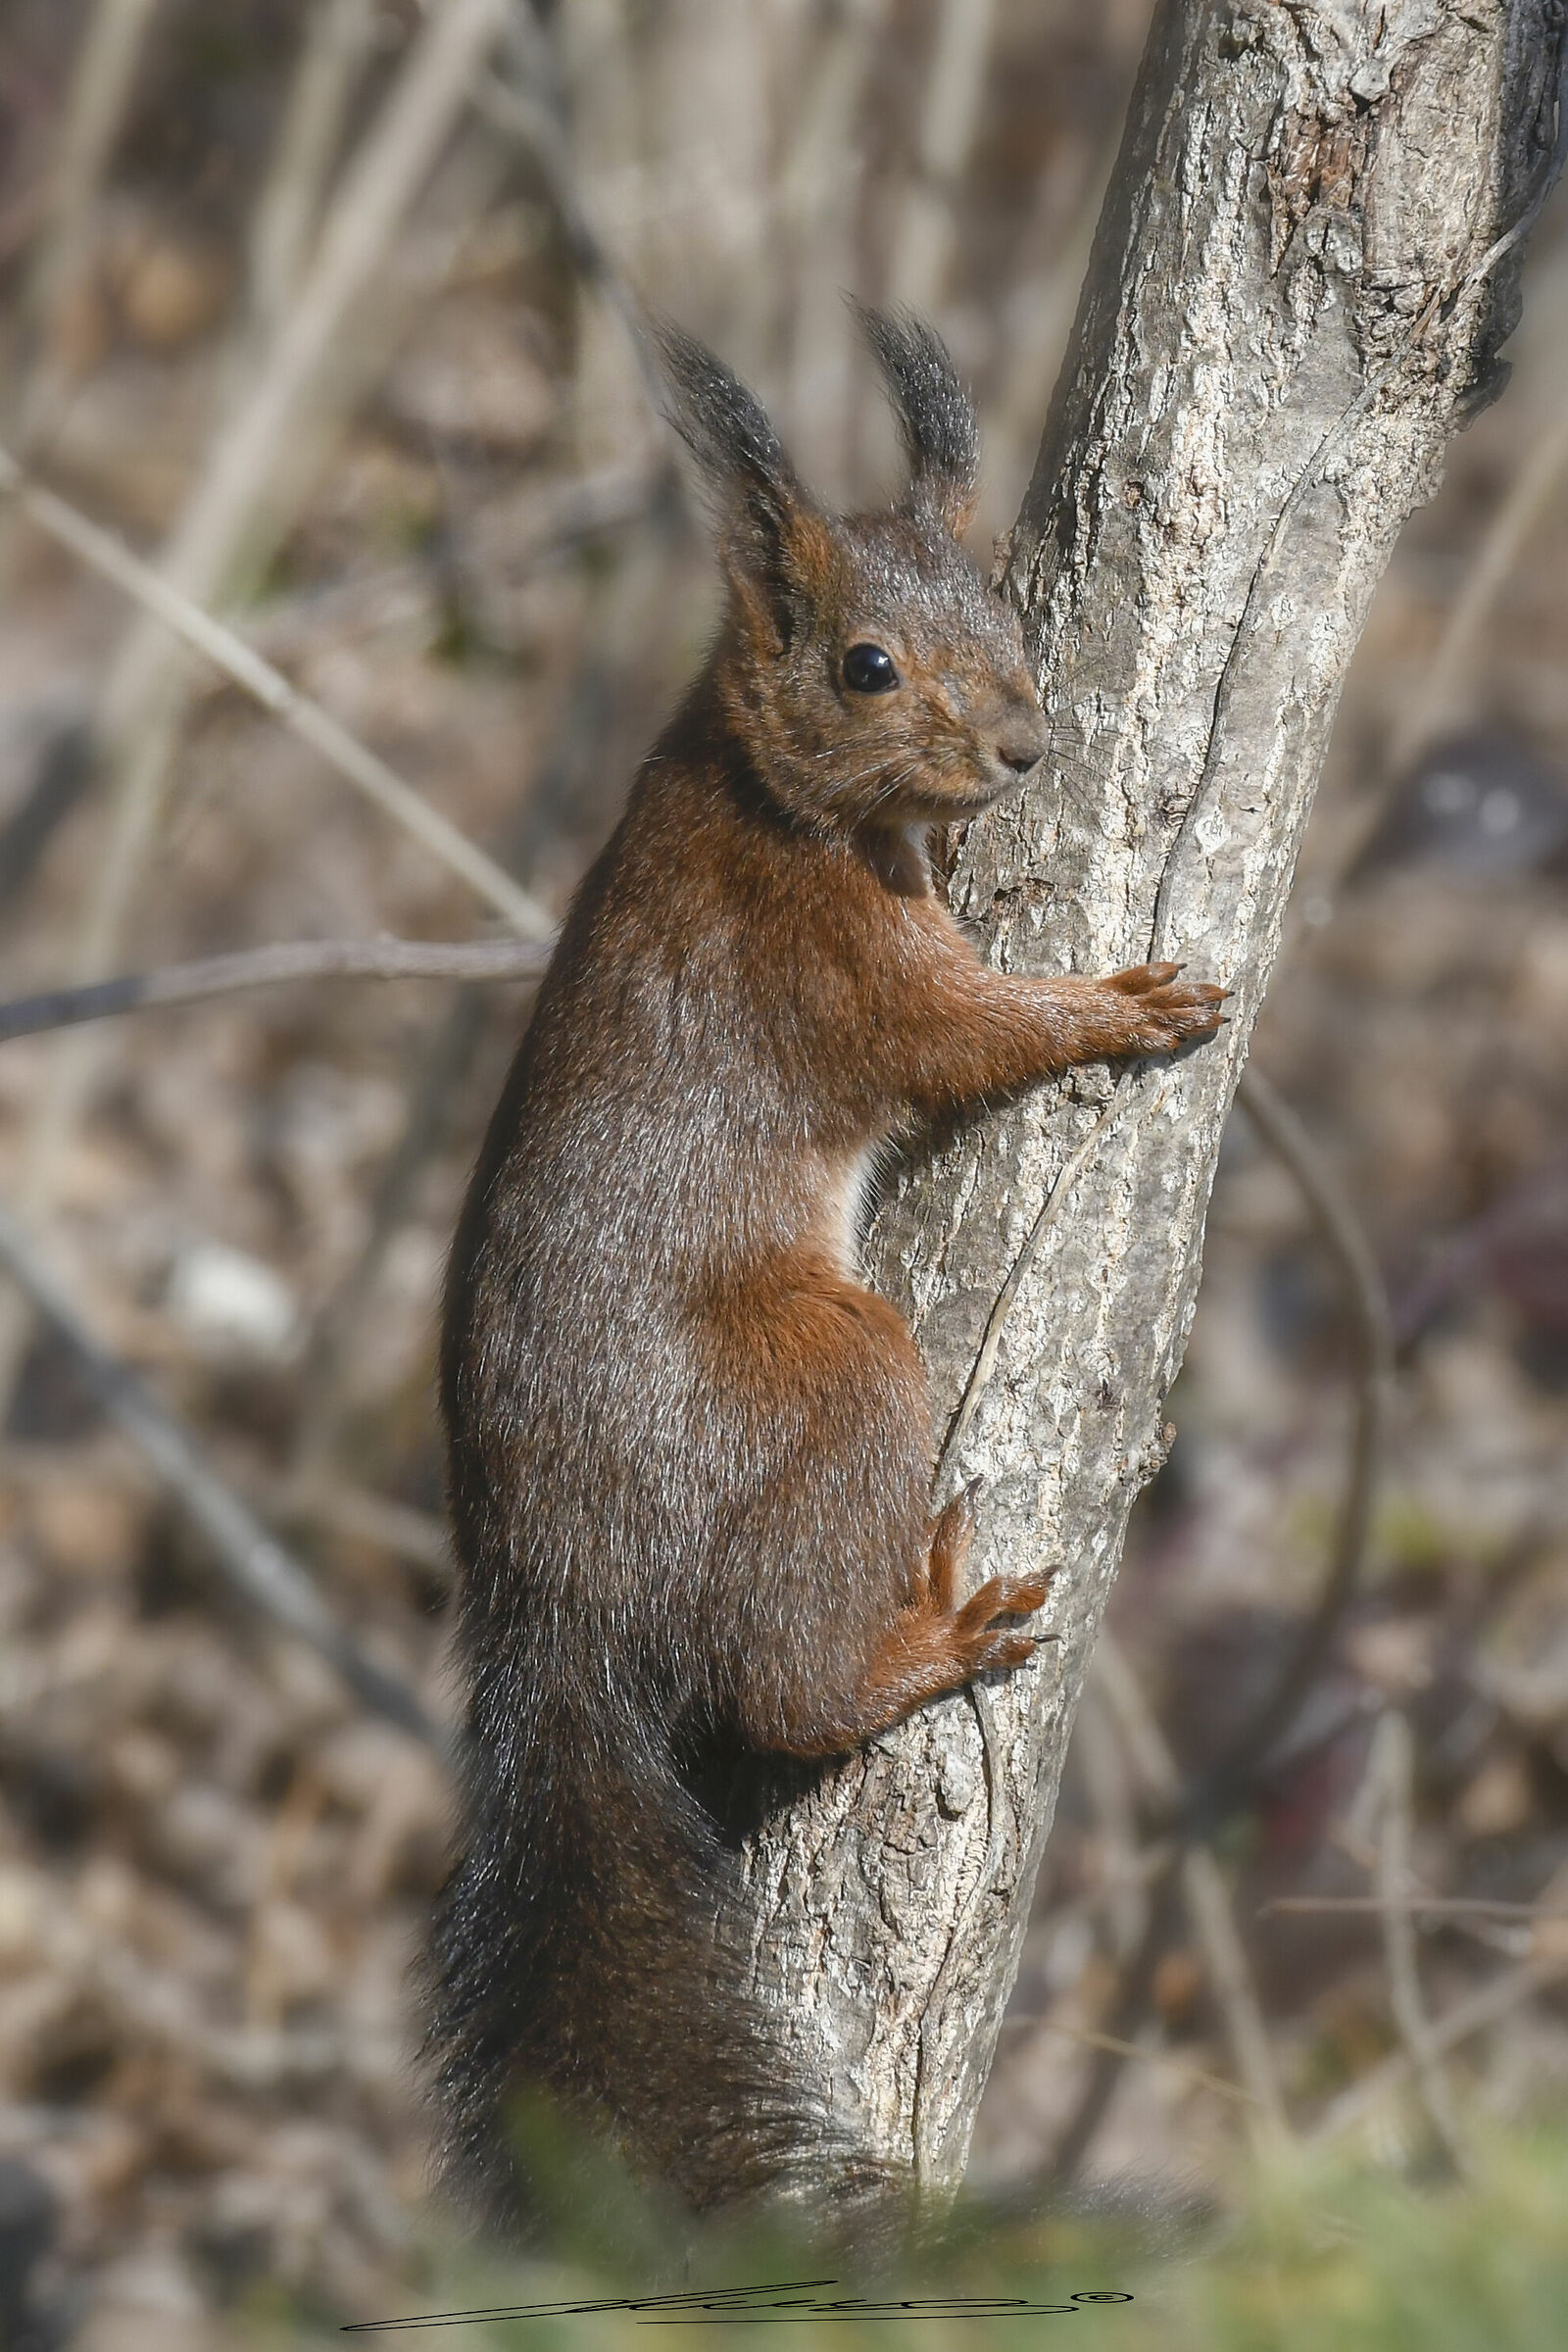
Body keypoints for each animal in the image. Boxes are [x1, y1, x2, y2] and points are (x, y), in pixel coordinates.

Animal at [431, 307, 1224, 2224]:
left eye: (1006, 612)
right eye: (867, 666)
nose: (1023, 745)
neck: (760, 787)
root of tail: (551, 1598)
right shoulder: (834, 970)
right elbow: (971, 1028)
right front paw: (1123, 1005)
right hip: (829, 1368)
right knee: (783, 1695)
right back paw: (925, 1636)